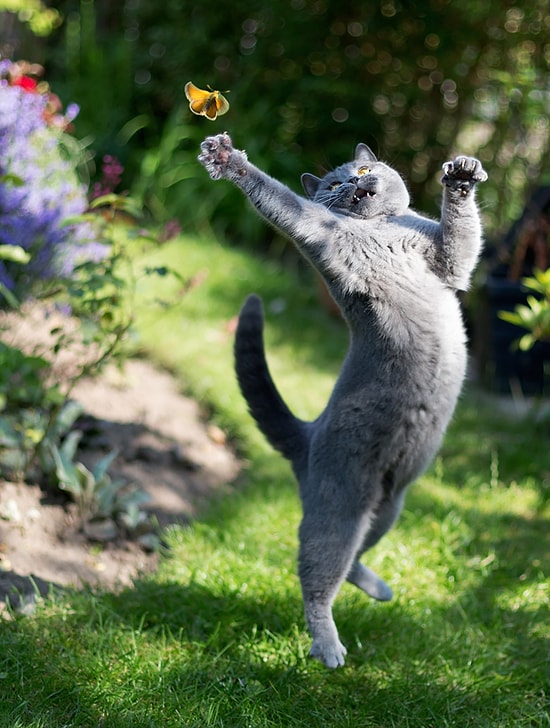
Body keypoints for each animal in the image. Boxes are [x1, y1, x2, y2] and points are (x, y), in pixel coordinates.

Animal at [197, 134, 488, 668]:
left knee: (352, 561)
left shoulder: (445, 259)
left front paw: (461, 173)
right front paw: (227, 160)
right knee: (317, 576)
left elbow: (462, 237)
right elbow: (282, 200)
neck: (381, 230)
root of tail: (307, 435)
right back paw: (328, 647)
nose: (356, 180)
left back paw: (378, 589)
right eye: (335, 182)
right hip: (340, 507)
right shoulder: (318, 231)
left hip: (389, 505)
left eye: (366, 168)